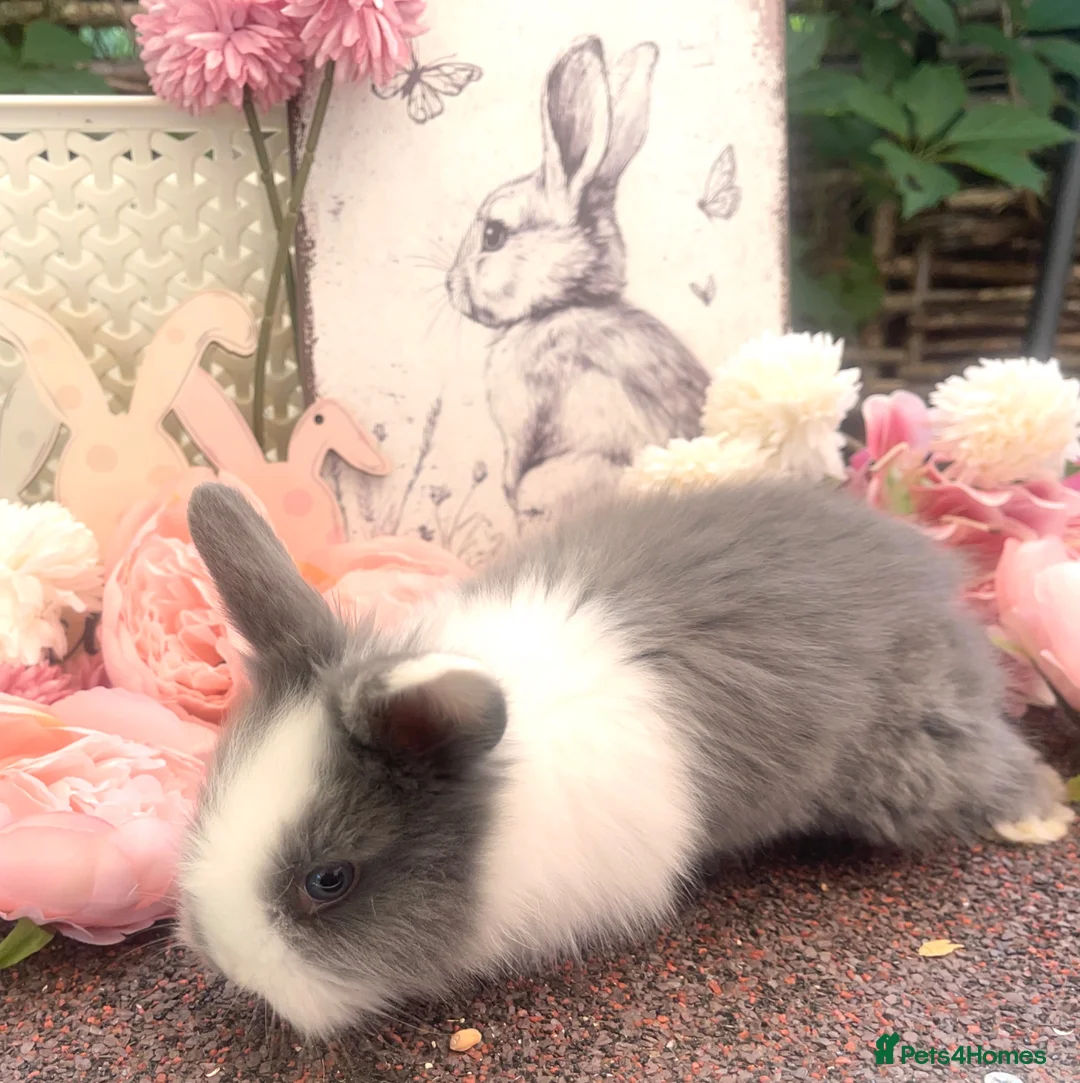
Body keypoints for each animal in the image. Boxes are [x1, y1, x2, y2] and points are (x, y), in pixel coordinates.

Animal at [177, 477, 1074, 1040]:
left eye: (329, 880)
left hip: (915, 761)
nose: (232, 965)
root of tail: (929, 572)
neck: (497, 808)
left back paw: (1042, 813)